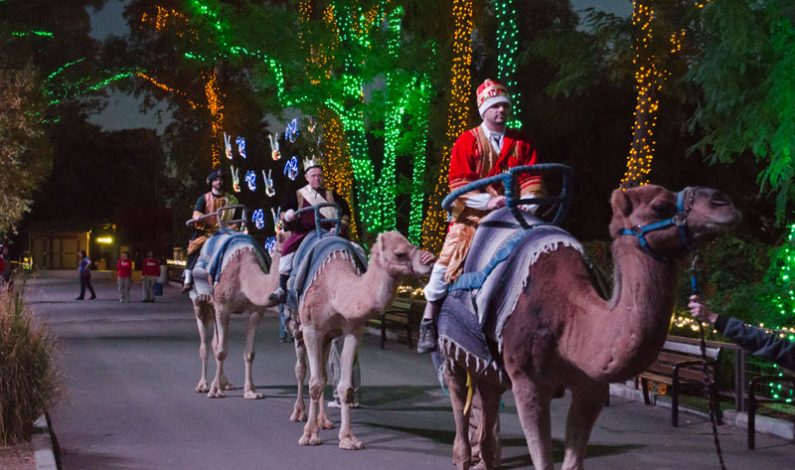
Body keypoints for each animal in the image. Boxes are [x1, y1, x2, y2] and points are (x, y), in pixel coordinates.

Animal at [191, 229, 282, 398]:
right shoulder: (222, 306)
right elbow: (221, 351)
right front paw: (215, 391)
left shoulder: (257, 311)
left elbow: (249, 353)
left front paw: (251, 391)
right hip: (200, 302)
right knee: (205, 343)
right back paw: (204, 385)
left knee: (215, 342)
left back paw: (225, 383)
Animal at [296, 230, 436, 448]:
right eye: (399, 253)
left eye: (410, 243)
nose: (429, 260)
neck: (336, 290)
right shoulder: (311, 328)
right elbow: (315, 383)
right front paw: (309, 435)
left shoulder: (353, 329)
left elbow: (345, 386)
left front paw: (348, 438)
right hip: (297, 325)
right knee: (301, 369)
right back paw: (298, 414)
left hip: (326, 337)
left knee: (324, 373)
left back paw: (324, 421)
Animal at [442, 185, 740, 470]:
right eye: (660, 205)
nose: (723, 202)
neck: (571, 321)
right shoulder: (528, 381)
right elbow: (544, 461)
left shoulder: (592, 386)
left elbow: (573, 462)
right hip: (454, 349)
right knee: (458, 395)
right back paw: (462, 455)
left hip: (491, 365)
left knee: (488, 402)